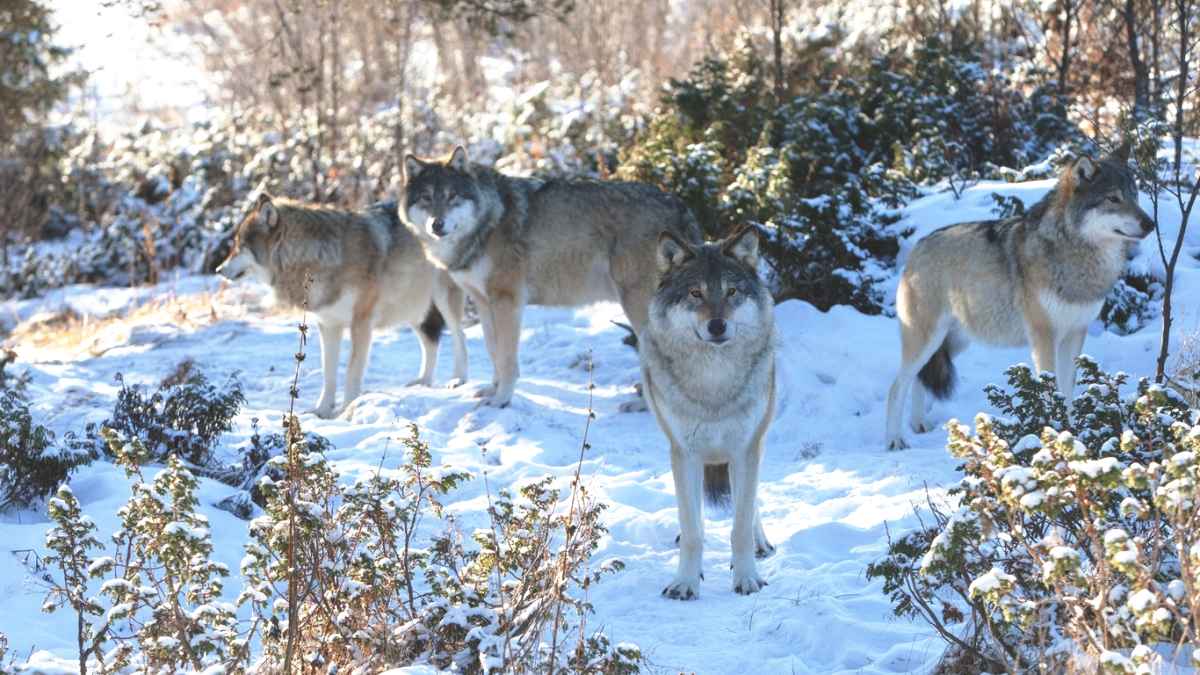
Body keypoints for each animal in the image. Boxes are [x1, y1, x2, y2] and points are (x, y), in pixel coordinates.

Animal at [217, 193, 468, 418]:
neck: (318, 258)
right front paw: (321, 410)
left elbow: (351, 371)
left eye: (239, 245)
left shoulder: (361, 323)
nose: (218, 269)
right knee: (431, 341)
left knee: (459, 335)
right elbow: (328, 373)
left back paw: (459, 380)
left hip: (442, 298)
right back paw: (423, 382)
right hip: (413, 307)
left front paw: (347, 409)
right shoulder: (328, 325)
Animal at [400, 146, 701, 408]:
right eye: (426, 198)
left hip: (637, 306)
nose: (437, 224)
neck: (489, 222)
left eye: (453, 196)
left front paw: (502, 400)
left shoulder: (507, 301)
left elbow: (506, 358)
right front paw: (491, 390)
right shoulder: (485, 303)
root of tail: (678, 204)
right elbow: (492, 349)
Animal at [641, 226, 776, 599]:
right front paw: (685, 582)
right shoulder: (684, 452)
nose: (717, 326)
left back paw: (761, 542)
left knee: (752, 504)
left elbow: (740, 526)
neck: (713, 383)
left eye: (731, 291)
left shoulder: (746, 449)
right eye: (695, 293)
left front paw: (747, 578)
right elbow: (692, 531)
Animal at [884, 149, 1155, 449]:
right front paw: (1054, 435)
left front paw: (1071, 436)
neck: (1074, 255)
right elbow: (1050, 391)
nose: (1150, 223)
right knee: (896, 386)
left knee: (919, 379)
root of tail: (916, 248)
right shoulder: (1043, 336)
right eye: (1113, 198)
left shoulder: (1075, 334)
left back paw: (918, 425)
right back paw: (895, 440)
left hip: (954, 343)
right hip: (927, 341)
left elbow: (1067, 392)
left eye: (1135, 196)